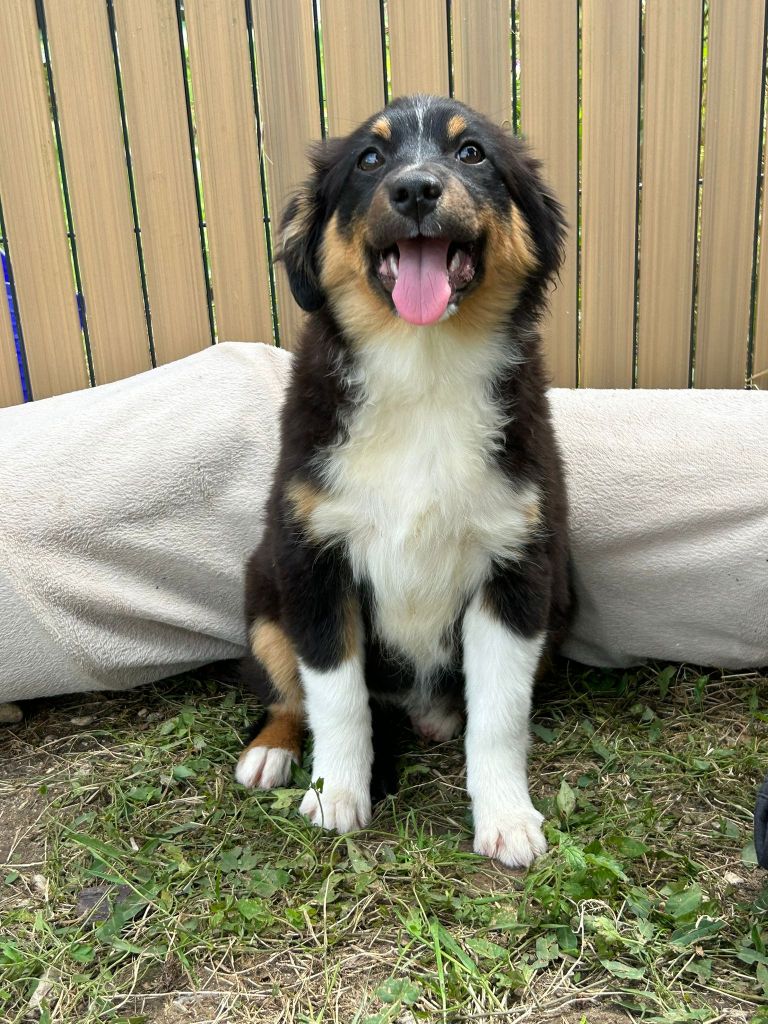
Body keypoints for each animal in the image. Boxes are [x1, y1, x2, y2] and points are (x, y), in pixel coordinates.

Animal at [235, 95, 572, 868]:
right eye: (370, 158)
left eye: (472, 153)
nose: (416, 190)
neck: (424, 365)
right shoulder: (313, 559)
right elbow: (334, 696)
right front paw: (336, 795)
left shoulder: (517, 567)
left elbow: (500, 714)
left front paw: (507, 818)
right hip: (264, 589)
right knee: (287, 690)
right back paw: (271, 751)